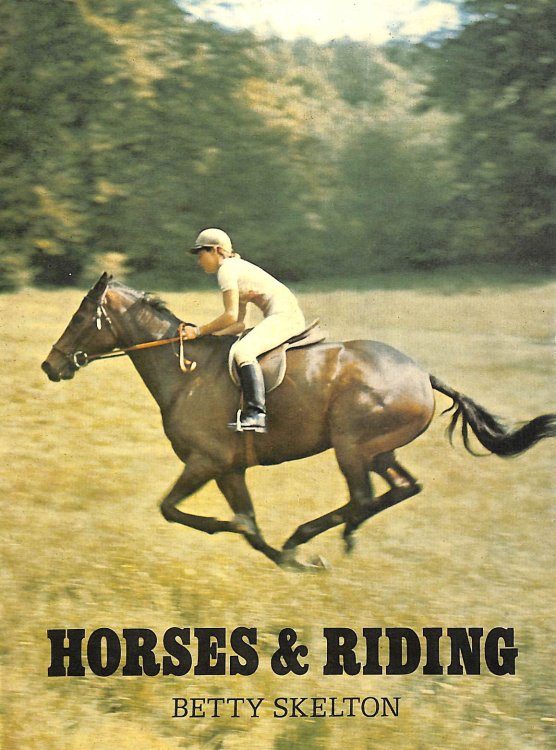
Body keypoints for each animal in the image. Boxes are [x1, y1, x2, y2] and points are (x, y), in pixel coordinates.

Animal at [41, 273, 556, 569]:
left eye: (81, 316)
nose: (50, 365)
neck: (184, 372)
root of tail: (421, 375)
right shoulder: (229, 469)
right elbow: (248, 525)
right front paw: (286, 559)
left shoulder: (206, 462)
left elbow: (176, 510)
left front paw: (266, 543)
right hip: (380, 449)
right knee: (401, 488)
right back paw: (338, 538)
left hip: (351, 446)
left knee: (363, 496)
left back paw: (308, 536)